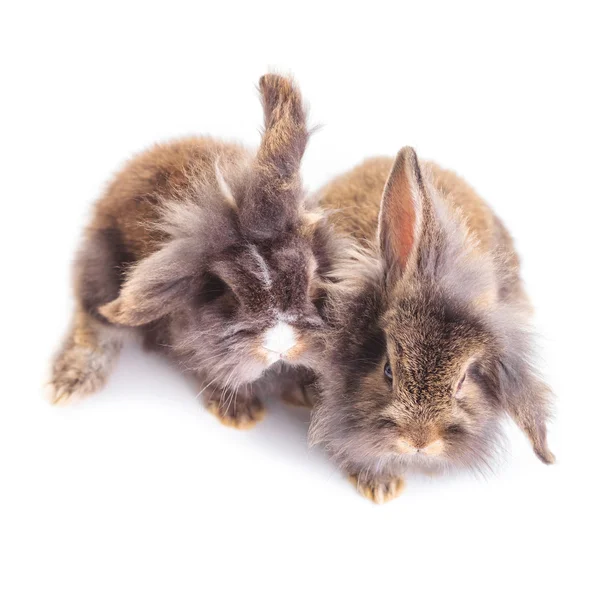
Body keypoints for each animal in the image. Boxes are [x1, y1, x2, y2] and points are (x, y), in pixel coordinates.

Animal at [49, 75, 340, 426]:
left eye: (310, 281)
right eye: (224, 291)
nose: (280, 346)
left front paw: (308, 395)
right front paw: (240, 414)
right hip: (99, 269)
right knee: (93, 326)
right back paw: (67, 386)